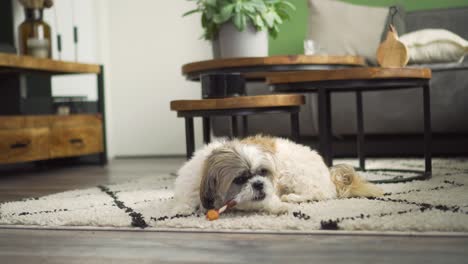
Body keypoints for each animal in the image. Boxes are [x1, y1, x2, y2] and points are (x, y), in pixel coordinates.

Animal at [173, 135, 384, 213]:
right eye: (240, 179)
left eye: (263, 172)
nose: (259, 183)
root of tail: (329, 174)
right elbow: (184, 201)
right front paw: (181, 208)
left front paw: (279, 205)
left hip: (294, 175)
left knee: (321, 194)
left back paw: (292, 197)